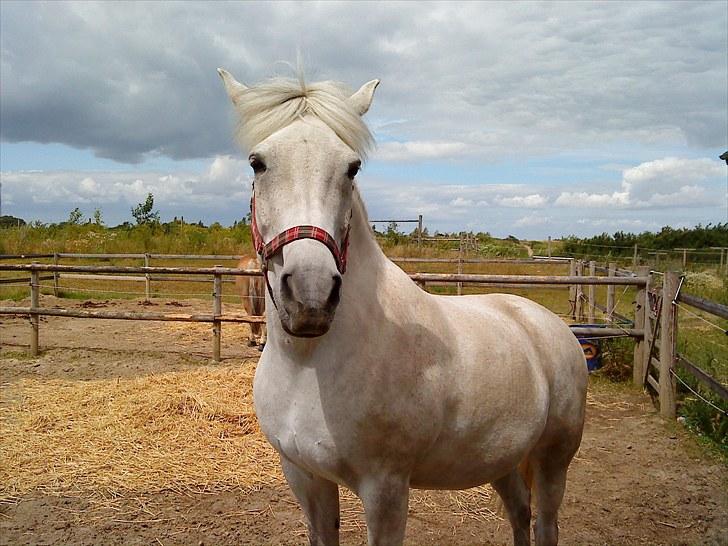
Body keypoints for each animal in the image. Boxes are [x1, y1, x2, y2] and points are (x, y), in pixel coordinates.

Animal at [219, 69, 588, 544]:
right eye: (257, 162)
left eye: (352, 167)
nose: (310, 296)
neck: (309, 364)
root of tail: (549, 325)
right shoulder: (305, 477)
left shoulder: (386, 489)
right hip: (503, 459)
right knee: (519, 513)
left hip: (553, 460)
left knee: (545, 524)